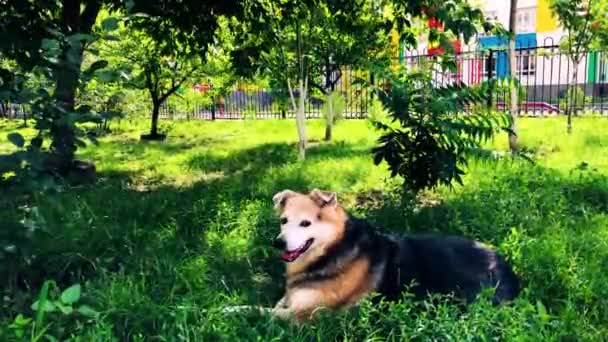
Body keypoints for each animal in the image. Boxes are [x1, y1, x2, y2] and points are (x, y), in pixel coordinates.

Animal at [264, 190, 520, 320]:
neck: (334, 249)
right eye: (283, 221)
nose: (278, 243)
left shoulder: (309, 314)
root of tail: (508, 271)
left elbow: (265, 312)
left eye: (305, 223)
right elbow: (280, 301)